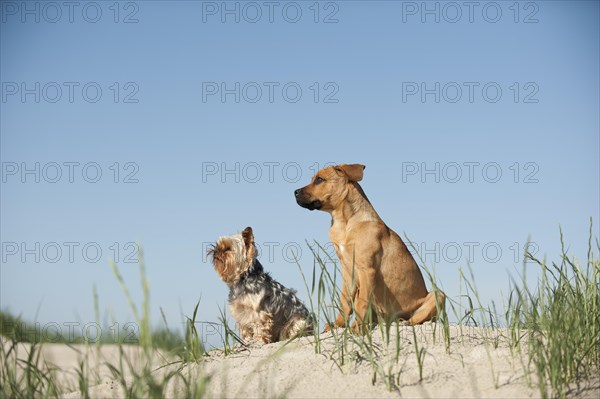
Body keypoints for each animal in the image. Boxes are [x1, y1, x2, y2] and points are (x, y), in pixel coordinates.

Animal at [296, 163, 446, 332]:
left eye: (319, 180)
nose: (295, 192)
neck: (345, 224)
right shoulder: (348, 273)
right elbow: (345, 301)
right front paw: (339, 325)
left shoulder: (367, 270)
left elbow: (361, 303)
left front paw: (357, 329)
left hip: (438, 295)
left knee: (418, 319)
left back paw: (404, 322)